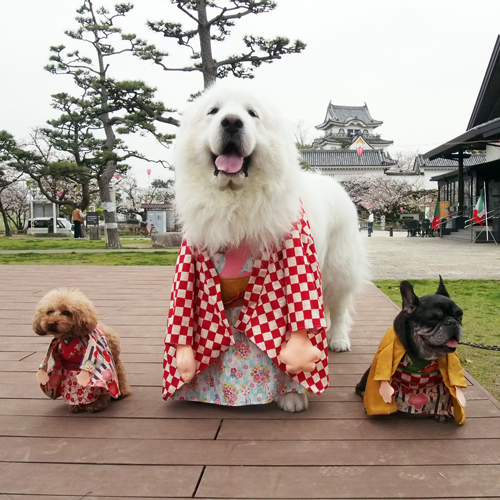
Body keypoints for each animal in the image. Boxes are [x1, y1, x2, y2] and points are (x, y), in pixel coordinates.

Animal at [175, 81, 368, 410]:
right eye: (213, 111)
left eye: (252, 114)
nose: (231, 122)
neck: (236, 202)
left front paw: (292, 395)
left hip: (338, 268)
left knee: (340, 307)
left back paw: (339, 339)